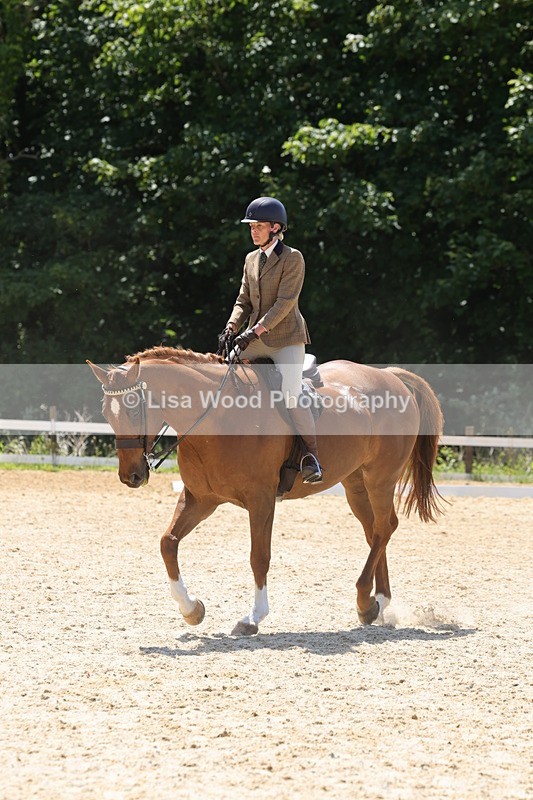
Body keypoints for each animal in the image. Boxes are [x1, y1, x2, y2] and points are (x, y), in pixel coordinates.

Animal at [87, 347, 444, 635]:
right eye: (106, 412)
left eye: (133, 410)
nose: (131, 476)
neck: (216, 418)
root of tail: (390, 376)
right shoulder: (200, 499)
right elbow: (167, 543)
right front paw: (192, 610)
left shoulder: (261, 500)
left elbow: (259, 557)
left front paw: (252, 618)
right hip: (355, 483)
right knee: (374, 532)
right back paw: (379, 603)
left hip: (381, 478)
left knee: (384, 527)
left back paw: (366, 602)